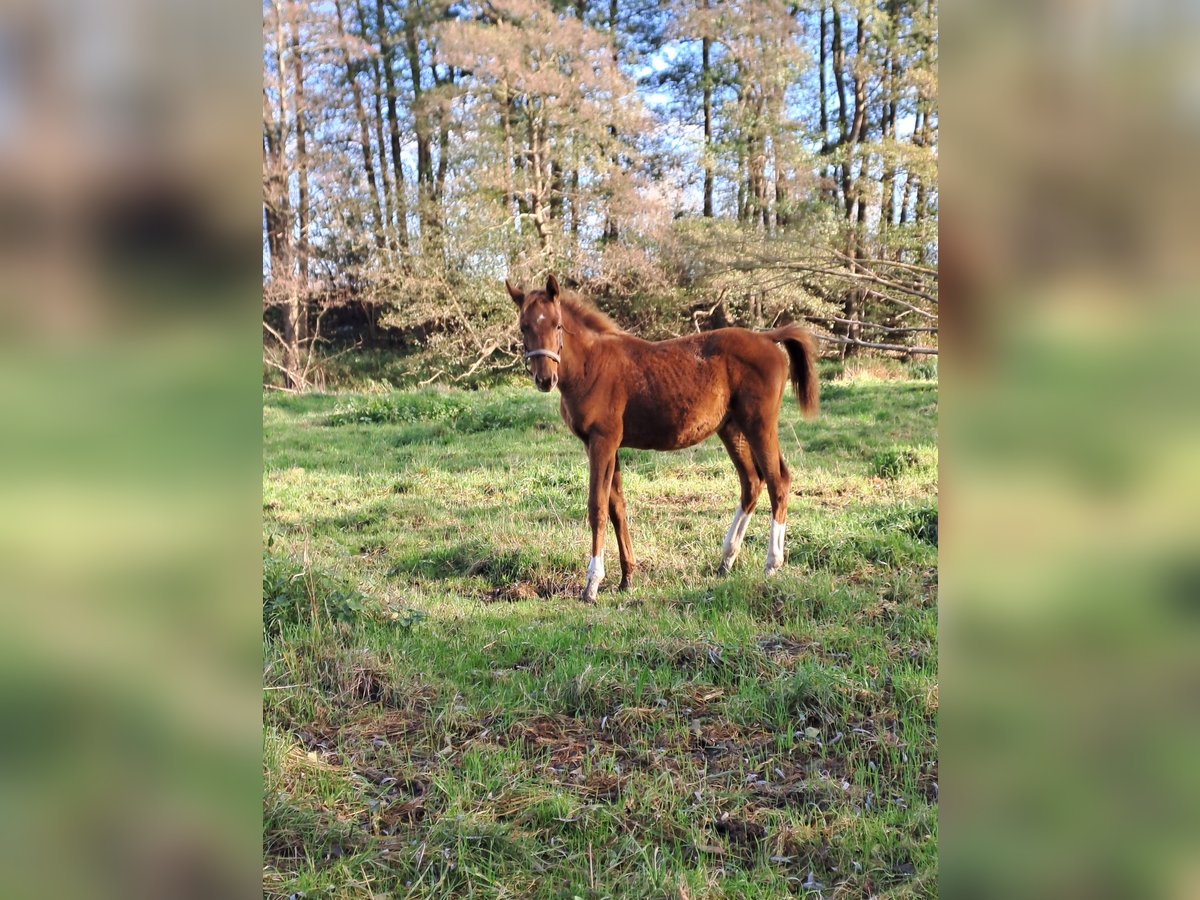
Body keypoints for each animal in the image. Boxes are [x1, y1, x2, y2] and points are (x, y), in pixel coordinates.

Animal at [506, 273, 816, 600]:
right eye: (524, 327)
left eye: (557, 324)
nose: (544, 379)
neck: (591, 365)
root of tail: (768, 338)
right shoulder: (608, 446)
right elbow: (617, 507)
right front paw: (627, 578)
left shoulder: (602, 441)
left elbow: (597, 507)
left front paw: (592, 583)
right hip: (732, 429)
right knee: (752, 482)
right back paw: (726, 560)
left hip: (759, 425)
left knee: (777, 481)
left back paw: (772, 563)